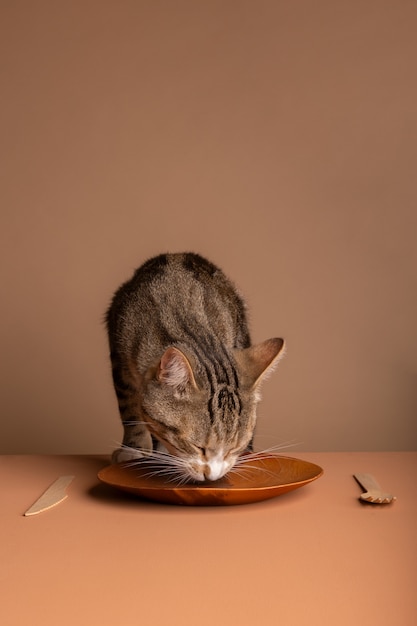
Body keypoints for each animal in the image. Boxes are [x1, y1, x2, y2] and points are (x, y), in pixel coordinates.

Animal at [105, 251, 284, 480]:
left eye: (234, 448)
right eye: (197, 447)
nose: (213, 476)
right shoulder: (120, 358)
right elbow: (130, 410)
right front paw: (134, 450)